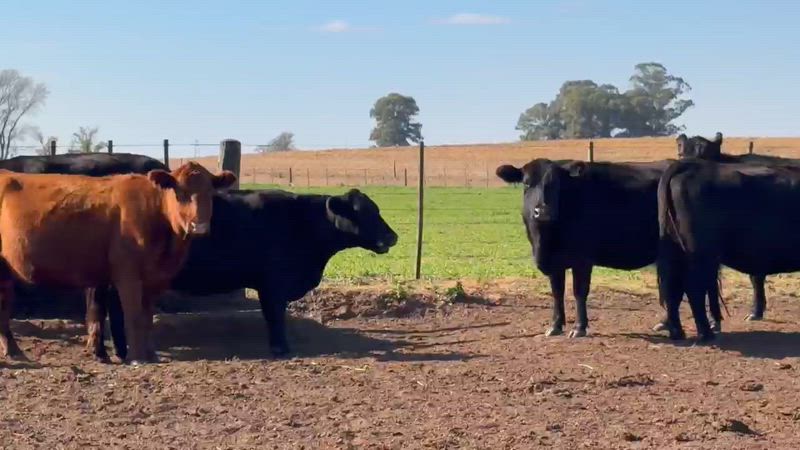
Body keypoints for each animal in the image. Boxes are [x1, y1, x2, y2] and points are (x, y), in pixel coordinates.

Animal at [0, 162, 237, 364]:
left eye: (210, 193)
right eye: (181, 192)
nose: (200, 227)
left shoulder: (154, 279)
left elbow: (147, 317)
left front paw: (150, 354)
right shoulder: (127, 275)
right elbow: (132, 315)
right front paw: (137, 357)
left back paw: (14, 351)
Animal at [86, 188, 398, 361]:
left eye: (376, 209)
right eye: (364, 212)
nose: (392, 236)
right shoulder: (273, 284)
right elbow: (275, 317)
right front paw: (281, 348)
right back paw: (121, 351)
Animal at [657, 158, 800, 341]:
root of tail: (694, 165)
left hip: (677, 250)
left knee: (674, 287)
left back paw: (677, 332)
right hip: (701, 254)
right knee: (694, 287)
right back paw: (706, 333)